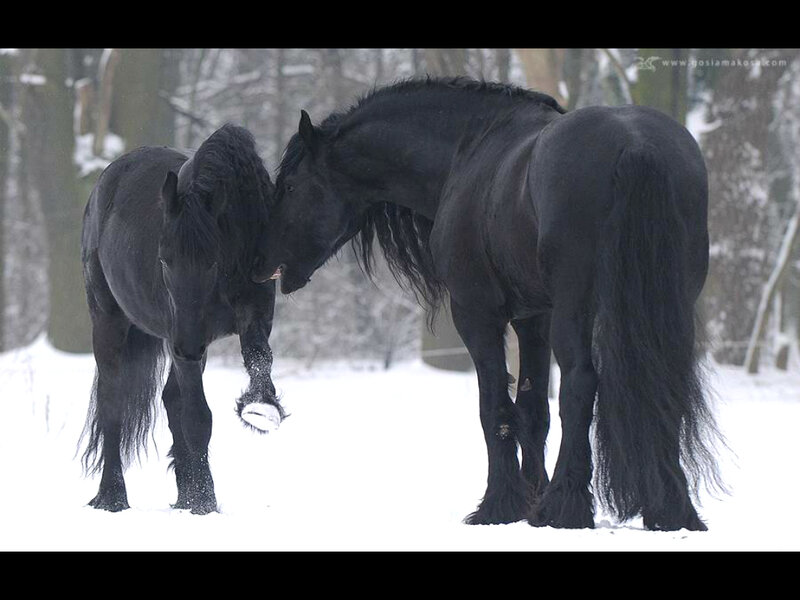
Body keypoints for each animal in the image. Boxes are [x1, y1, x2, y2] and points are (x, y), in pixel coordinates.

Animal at [80, 124, 285, 515]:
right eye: (163, 259)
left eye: (212, 260)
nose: (187, 346)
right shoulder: (182, 339)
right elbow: (197, 418)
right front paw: (206, 502)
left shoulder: (254, 314)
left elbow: (258, 356)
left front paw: (260, 407)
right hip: (111, 322)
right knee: (113, 401)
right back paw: (113, 497)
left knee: (170, 399)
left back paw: (183, 495)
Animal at [252, 77, 725, 531]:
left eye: (291, 185)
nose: (260, 264)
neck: (471, 149)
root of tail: (635, 145)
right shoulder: (535, 319)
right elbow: (532, 410)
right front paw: (530, 497)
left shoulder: (477, 314)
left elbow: (495, 407)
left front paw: (500, 504)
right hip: (668, 306)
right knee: (665, 382)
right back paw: (671, 510)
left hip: (577, 307)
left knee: (579, 384)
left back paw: (565, 507)